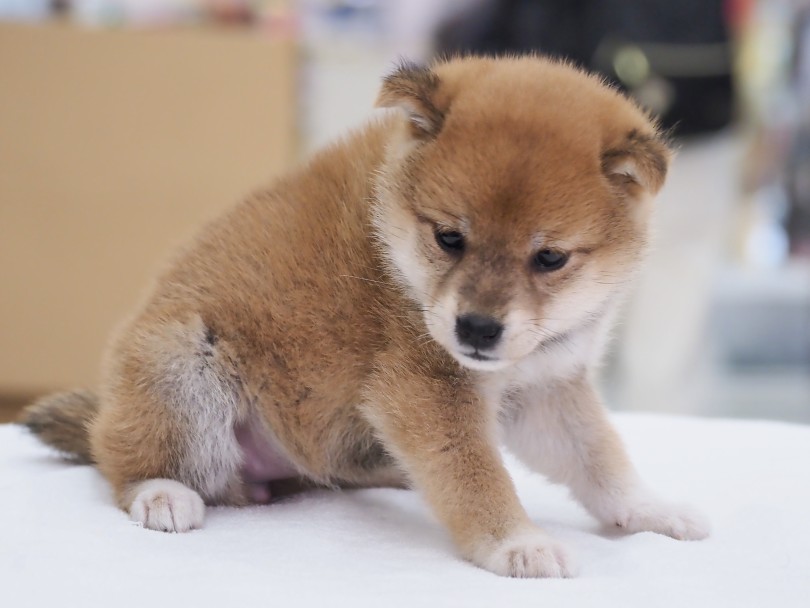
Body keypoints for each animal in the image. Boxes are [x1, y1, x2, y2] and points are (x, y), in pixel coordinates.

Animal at [22, 57, 708, 580]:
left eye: (550, 258)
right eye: (450, 238)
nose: (476, 329)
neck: (395, 247)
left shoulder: (547, 389)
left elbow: (601, 462)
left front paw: (650, 510)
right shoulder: (425, 393)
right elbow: (477, 477)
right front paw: (518, 543)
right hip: (181, 365)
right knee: (120, 458)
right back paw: (161, 494)